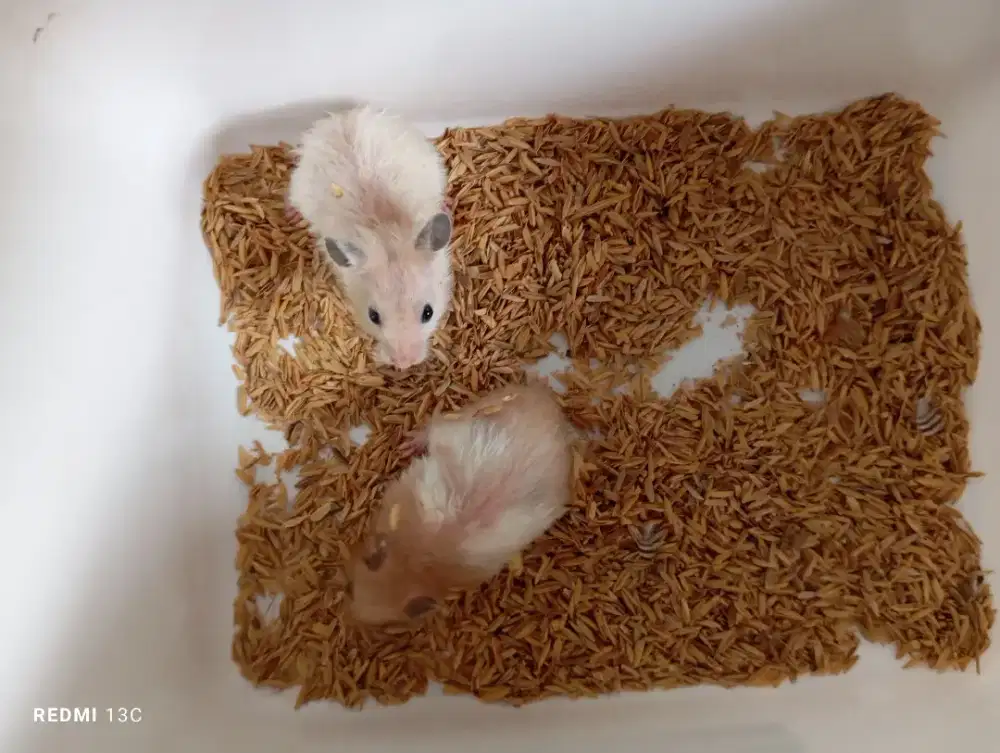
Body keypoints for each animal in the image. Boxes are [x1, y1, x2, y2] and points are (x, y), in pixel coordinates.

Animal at [286, 105, 453, 370]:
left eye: (428, 312)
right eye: (373, 316)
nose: (404, 363)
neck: (385, 233)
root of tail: (343, 116)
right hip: (298, 184)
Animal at [345, 382, 576, 625]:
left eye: (386, 624)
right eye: (349, 588)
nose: (351, 616)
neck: (413, 561)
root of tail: (546, 398)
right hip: (459, 424)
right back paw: (409, 444)